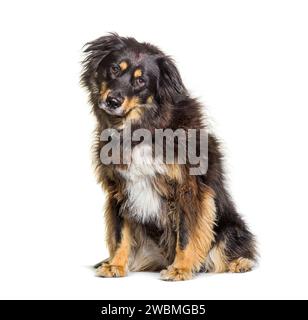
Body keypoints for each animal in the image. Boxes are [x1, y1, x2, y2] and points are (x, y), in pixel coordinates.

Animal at [80, 33, 256, 282]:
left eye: (141, 81)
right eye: (114, 68)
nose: (113, 101)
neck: (142, 129)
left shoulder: (188, 188)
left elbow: (186, 234)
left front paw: (181, 269)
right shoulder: (119, 188)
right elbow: (120, 234)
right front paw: (116, 265)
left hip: (230, 227)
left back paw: (238, 263)